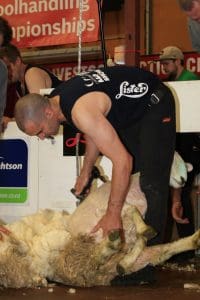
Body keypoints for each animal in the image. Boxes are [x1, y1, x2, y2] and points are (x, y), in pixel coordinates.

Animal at [0, 152, 198, 288]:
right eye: (172, 159)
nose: (183, 180)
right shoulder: (111, 213)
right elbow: (134, 216)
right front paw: (144, 232)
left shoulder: (128, 227)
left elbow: (140, 240)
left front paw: (128, 258)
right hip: (77, 249)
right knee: (94, 259)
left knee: (159, 252)